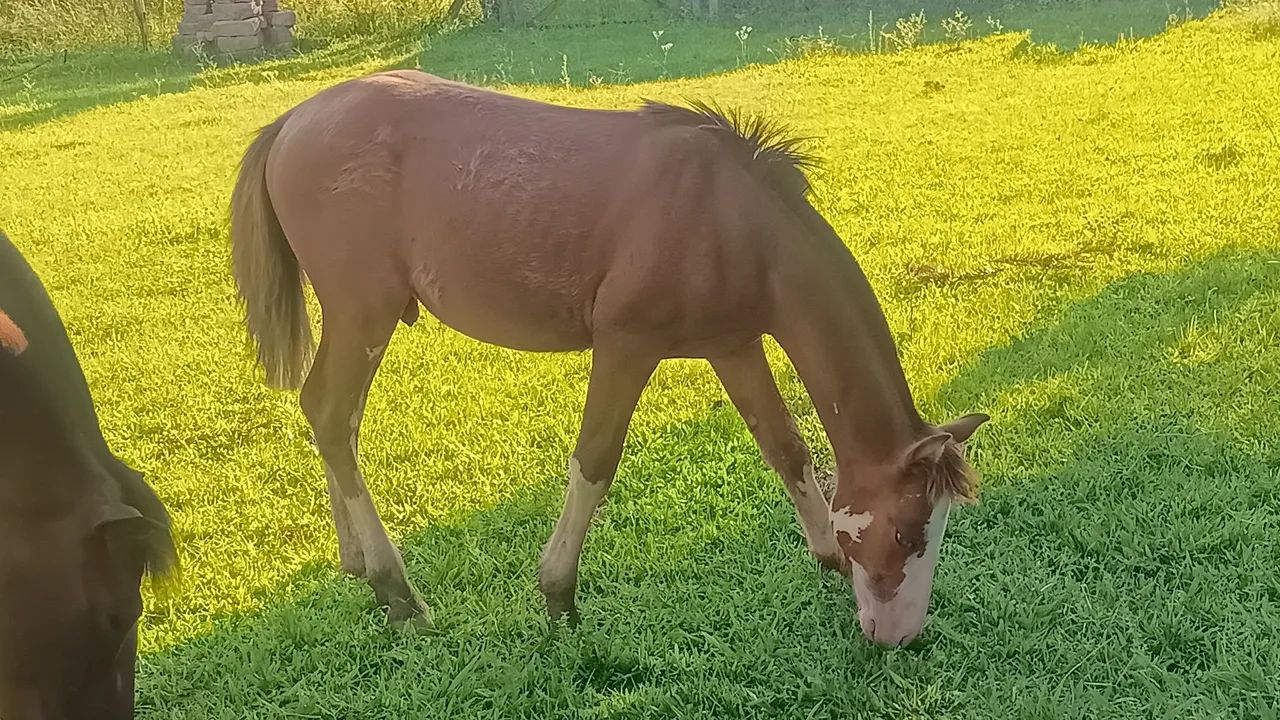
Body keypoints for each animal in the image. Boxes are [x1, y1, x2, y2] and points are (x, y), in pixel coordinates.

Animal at [229, 69, 989, 647]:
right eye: (905, 531)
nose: (897, 636)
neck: (731, 218)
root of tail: (292, 120)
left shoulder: (734, 346)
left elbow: (786, 446)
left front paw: (825, 554)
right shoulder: (627, 345)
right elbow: (595, 461)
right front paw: (558, 595)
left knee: (332, 416)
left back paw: (359, 564)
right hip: (365, 310)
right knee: (332, 412)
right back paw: (398, 591)